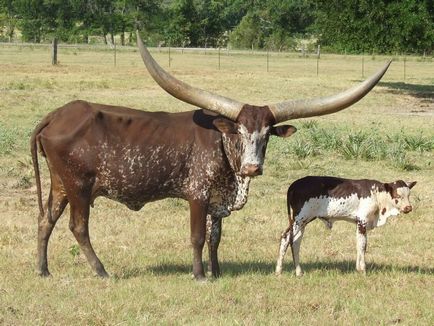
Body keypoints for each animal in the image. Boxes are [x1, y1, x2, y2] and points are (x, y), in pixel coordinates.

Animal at [276, 177, 416, 276]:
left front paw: (358, 268)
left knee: (293, 240)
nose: (408, 208)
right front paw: (363, 270)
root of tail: (294, 184)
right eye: (398, 196)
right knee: (288, 238)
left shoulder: (359, 224)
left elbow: (360, 246)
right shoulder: (362, 222)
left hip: (303, 221)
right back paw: (285, 271)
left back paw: (291, 271)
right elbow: (362, 246)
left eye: (408, 195)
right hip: (299, 219)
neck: (376, 194)